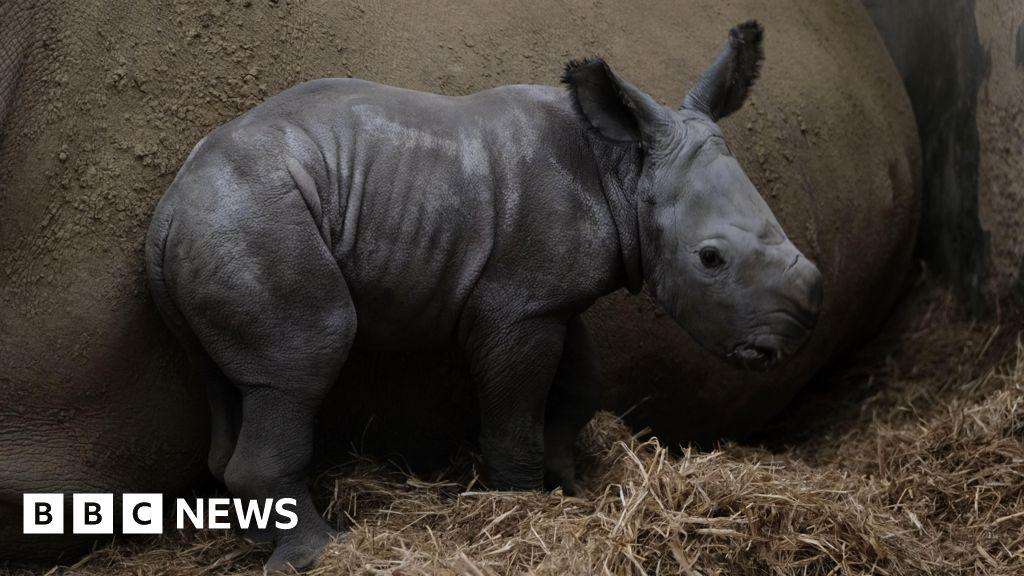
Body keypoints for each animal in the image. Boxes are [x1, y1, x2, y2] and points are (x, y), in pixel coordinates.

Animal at [145, 21, 821, 572]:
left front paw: (570, 486)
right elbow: (514, 412)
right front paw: (523, 508)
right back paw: (324, 552)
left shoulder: (548, 297)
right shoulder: (515, 308)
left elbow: (580, 385)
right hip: (255, 219)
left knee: (233, 380)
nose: (790, 339)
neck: (624, 169)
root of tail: (166, 214)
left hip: (223, 227)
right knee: (303, 359)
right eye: (710, 259)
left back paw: (267, 539)